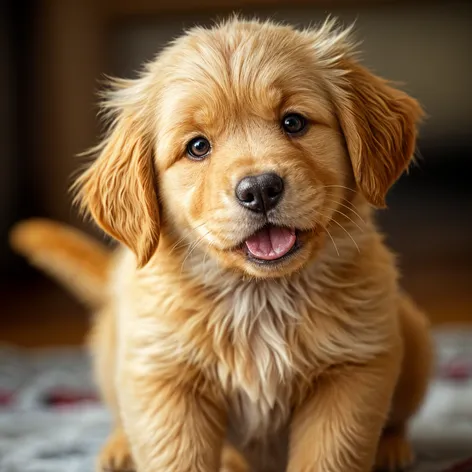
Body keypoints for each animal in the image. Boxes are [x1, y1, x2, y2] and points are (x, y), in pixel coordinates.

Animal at [11, 17, 432, 472]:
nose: (260, 189)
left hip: (410, 338)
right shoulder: (164, 380)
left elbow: (330, 455)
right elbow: (174, 456)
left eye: (294, 123)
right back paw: (124, 448)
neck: (259, 297)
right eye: (198, 146)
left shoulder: (352, 369)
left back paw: (391, 448)